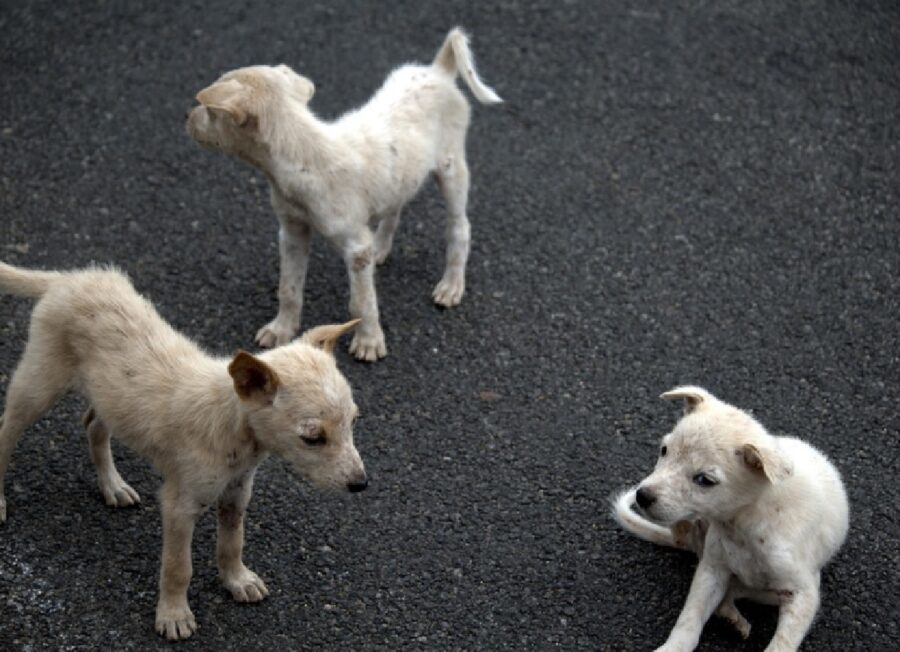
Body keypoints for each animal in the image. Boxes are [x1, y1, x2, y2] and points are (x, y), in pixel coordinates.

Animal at [0, 260, 370, 636]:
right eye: (312, 437)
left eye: (353, 422)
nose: (361, 484)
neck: (232, 426)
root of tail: (70, 278)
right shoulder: (179, 504)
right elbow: (178, 567)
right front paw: (174, 615)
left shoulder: (237, 492)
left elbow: (232, 543)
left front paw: (237, 580)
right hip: (39, 382)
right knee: (7, 428)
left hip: (109, 399)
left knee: (93, 425)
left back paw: (113, 486)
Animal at [187, 26, 502, 362]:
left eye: (208, 111)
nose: (186, 116)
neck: (302, 156)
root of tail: (438, 70)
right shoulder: (292, 232)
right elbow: (289, 288)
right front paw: (282, 329)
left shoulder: (356, 249)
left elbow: (362, 303)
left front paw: (368, 341)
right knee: (395, 208)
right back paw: (382, 247)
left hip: (451, 168)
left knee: (460, 228)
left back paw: (451, 285)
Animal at [612, 388, 852, 652]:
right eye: (664, 450)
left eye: (705, 480)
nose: (642, 496)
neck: (744, 523)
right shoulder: (712, 569)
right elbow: (690, 617)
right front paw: (673, 647)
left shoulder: (803, 593)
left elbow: (781, 644)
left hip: (770, 590)